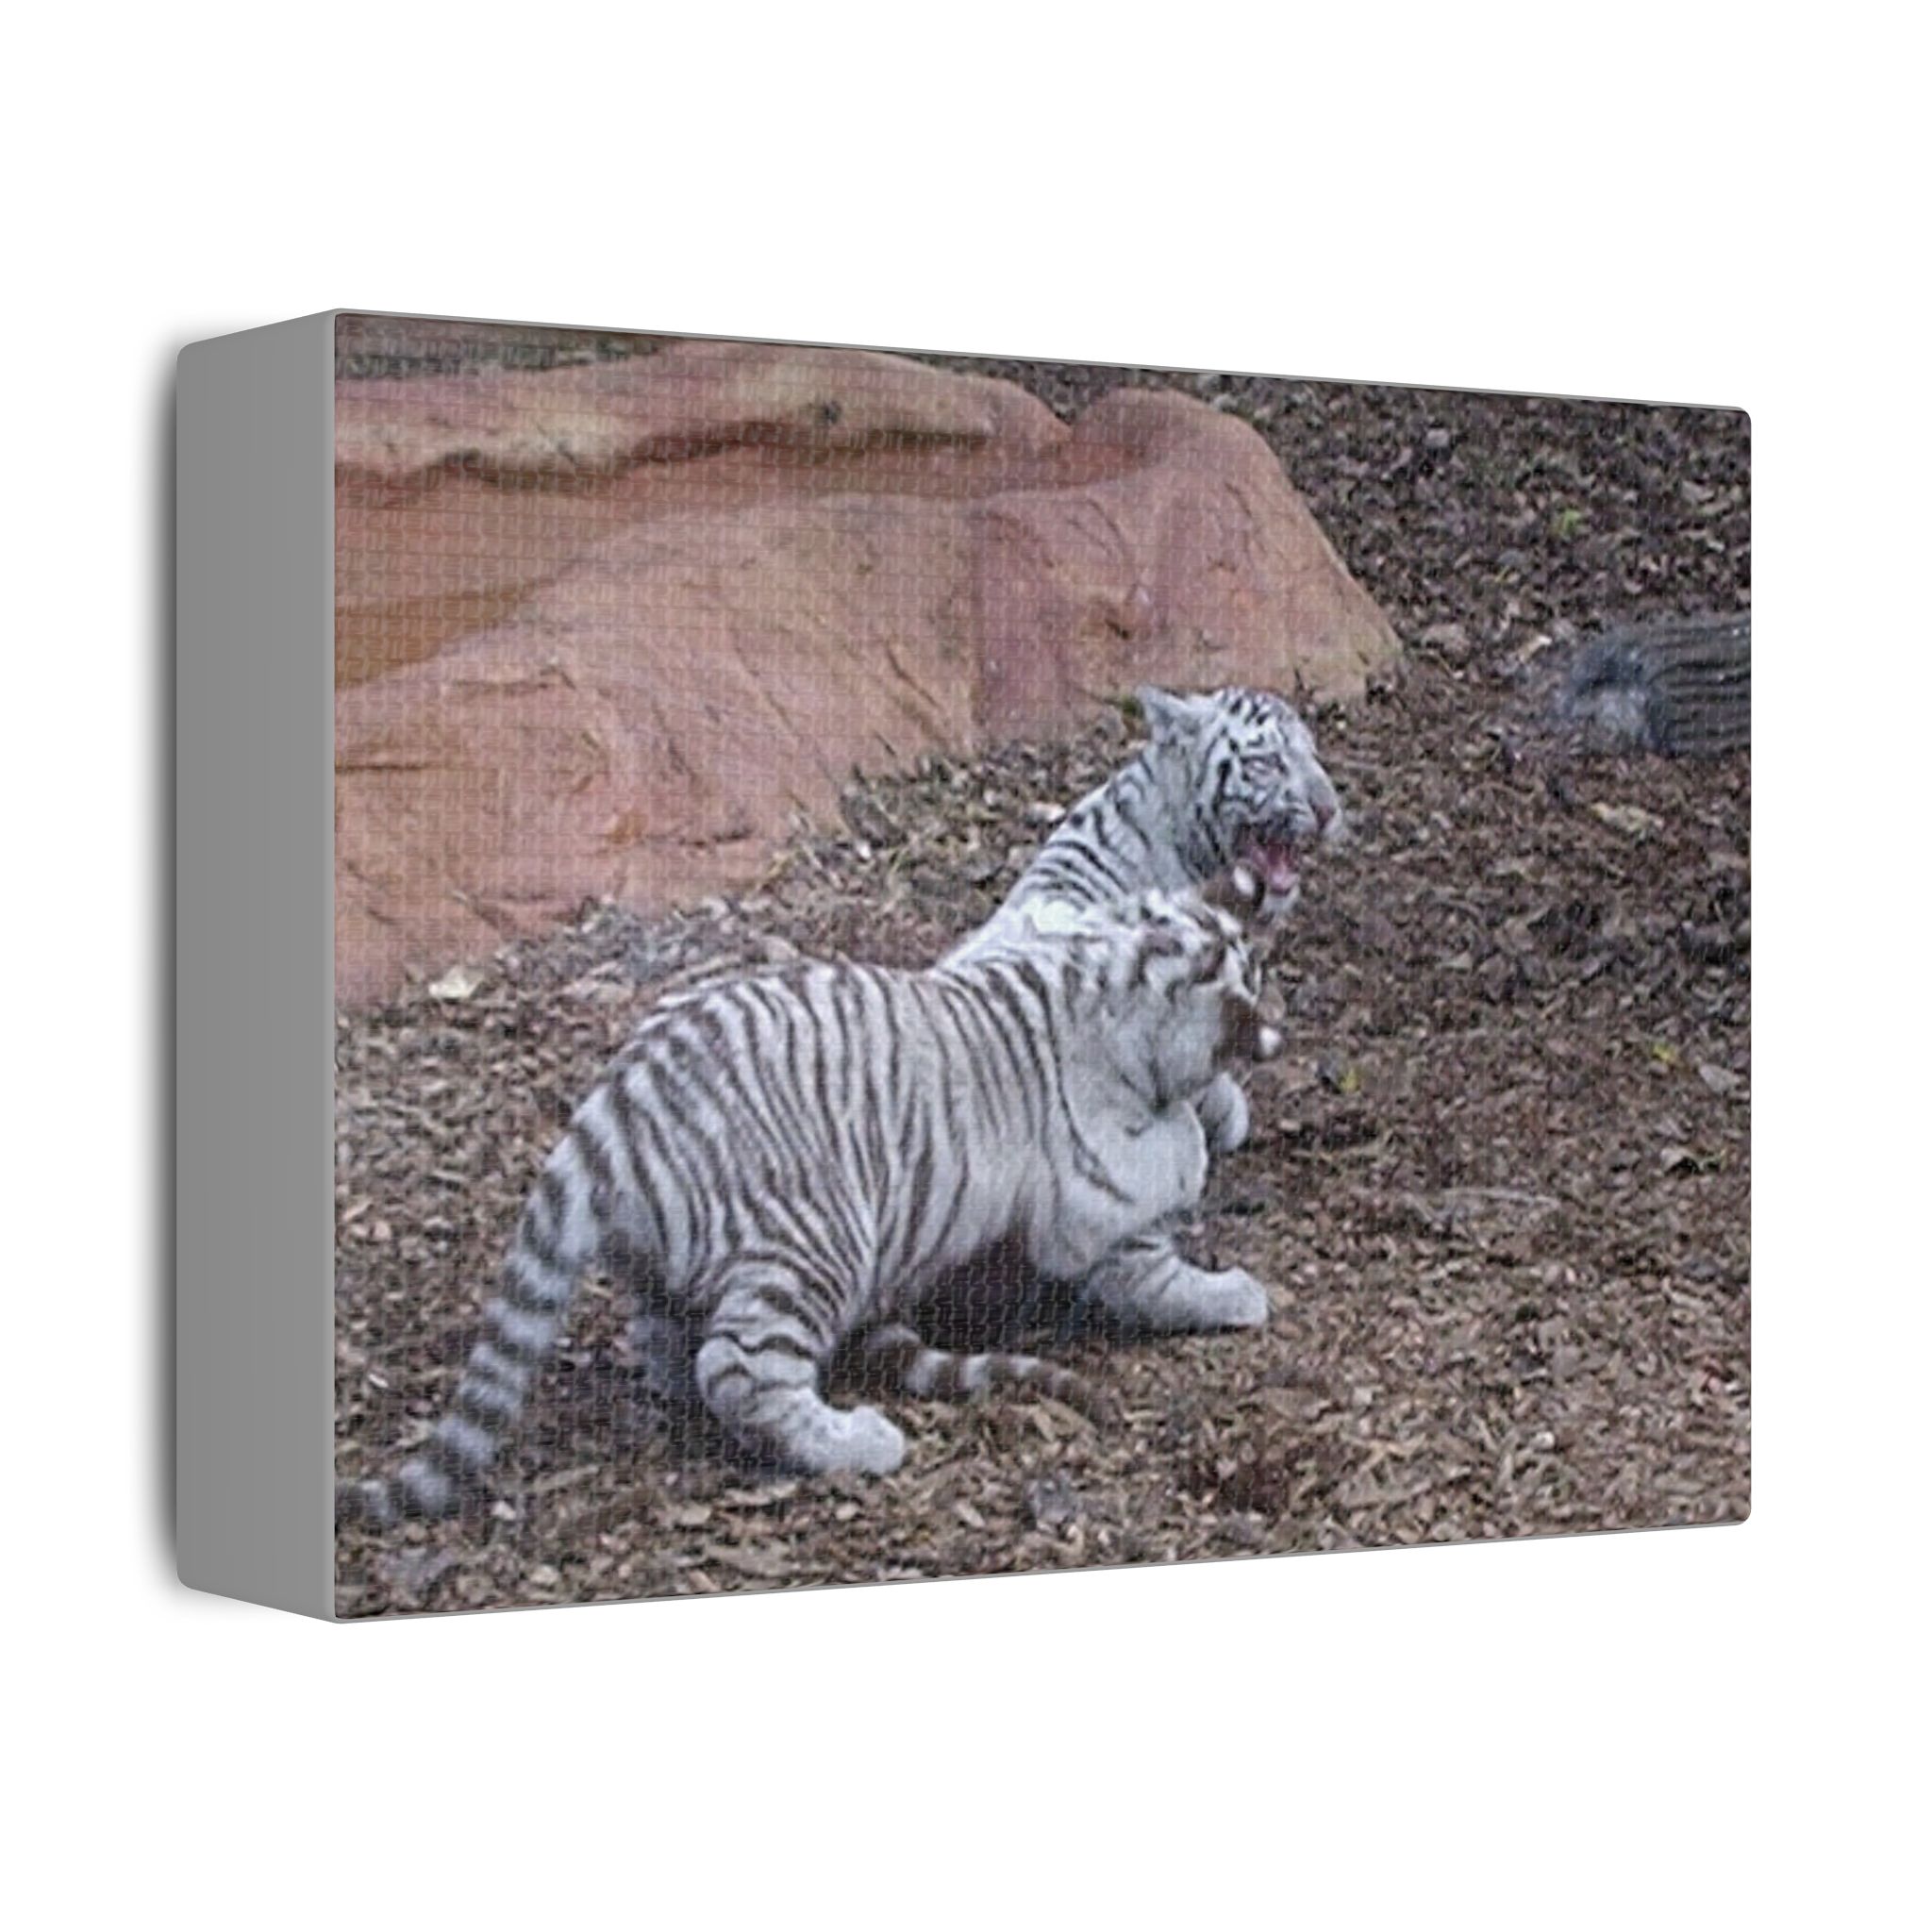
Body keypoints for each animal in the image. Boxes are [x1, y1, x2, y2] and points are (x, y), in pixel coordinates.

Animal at [340, 883, 1282, 1523]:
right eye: (1249, 978)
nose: (1274, 1032)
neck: (1107, 985)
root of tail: (616, 1105)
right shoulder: (1102, 1209)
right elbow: (1161, 1262)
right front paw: (1234, 1289)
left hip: (673, 1262)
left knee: (668, 1345)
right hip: (815, 1243)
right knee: (740, 1370)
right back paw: (855, 1442)